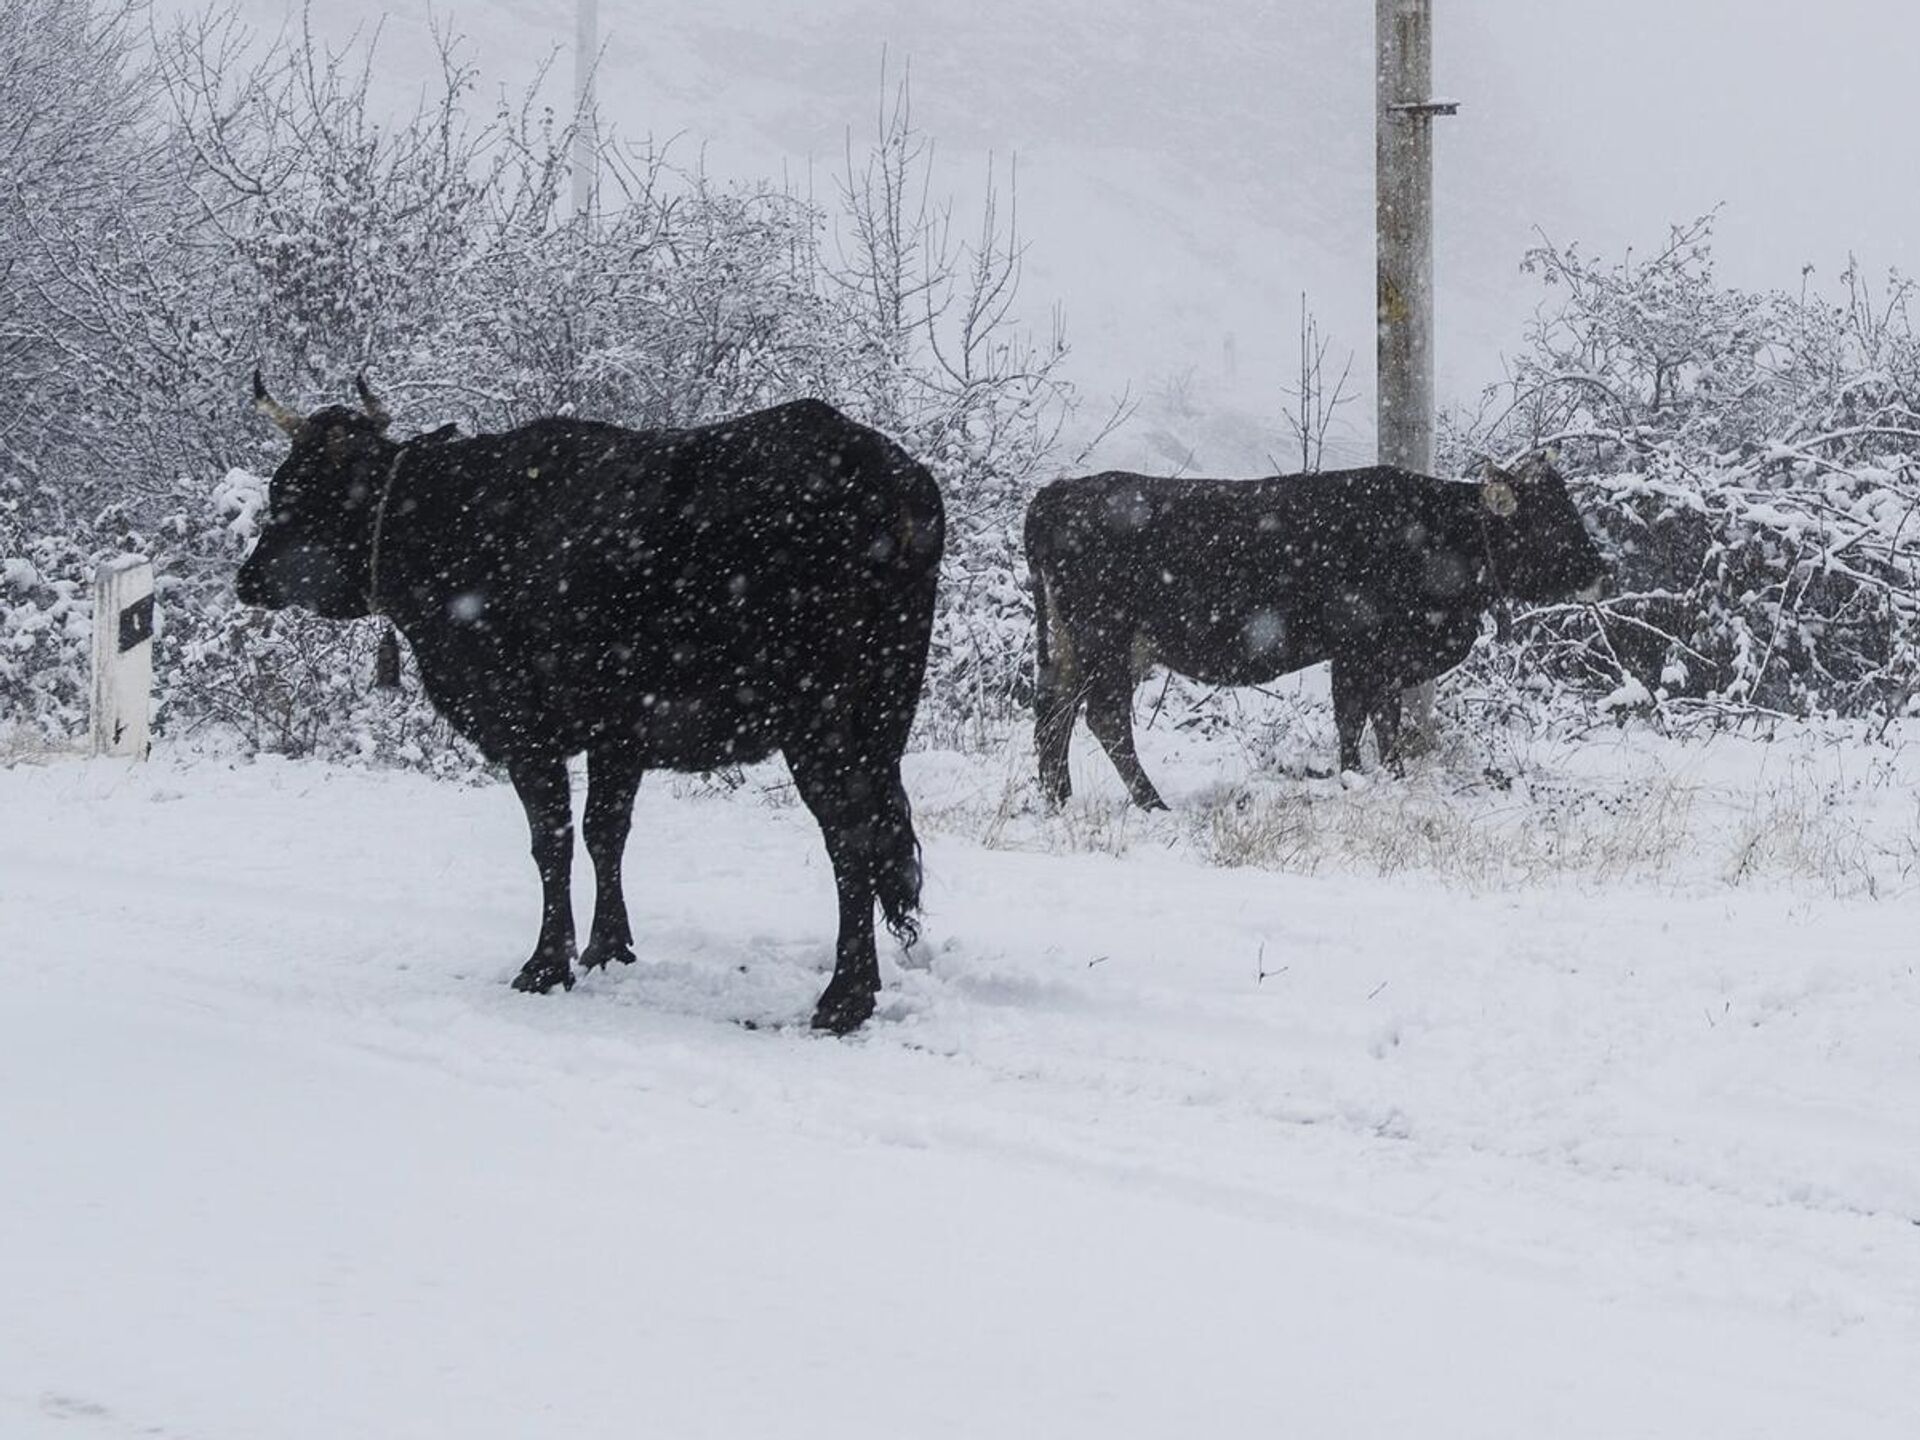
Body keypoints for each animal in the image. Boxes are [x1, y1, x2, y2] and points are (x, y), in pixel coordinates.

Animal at [240, 378, 944, 1029]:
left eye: (290, 489)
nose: (247, 579)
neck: (451, 526)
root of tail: (886, 468)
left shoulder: (523, 725)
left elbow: (550, 839)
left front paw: (546, 963)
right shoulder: (618, 731)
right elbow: (606, 831)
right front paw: (609, 948)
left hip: (817, 718)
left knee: (849, 835)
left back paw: (845, 997)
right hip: (886, 711)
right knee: (881, 832)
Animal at [1021, 456, 1605, 806]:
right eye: (1548, 518)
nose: (1599, 569)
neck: (1437, 534)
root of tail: (1061, 492)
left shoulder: (1381, 660)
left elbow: (1379, 718)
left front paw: (1385, 777)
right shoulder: (1360, 650)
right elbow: (1357, 718)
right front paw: (1358, 779)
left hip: (1077, 646)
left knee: (1054, 709)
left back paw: (1059, 799)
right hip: (1106, 641)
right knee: (1105, 717)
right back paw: (1151, 804)